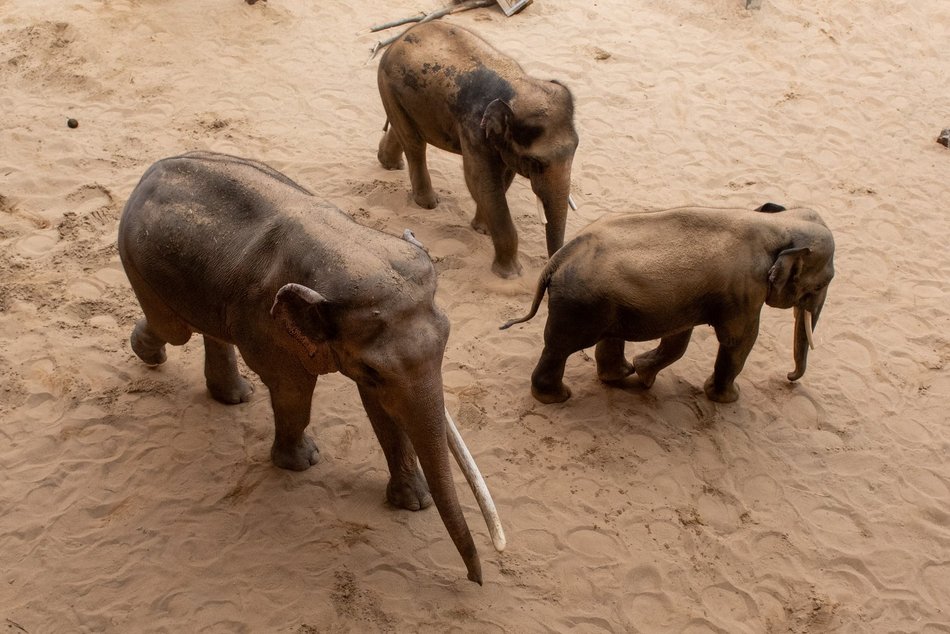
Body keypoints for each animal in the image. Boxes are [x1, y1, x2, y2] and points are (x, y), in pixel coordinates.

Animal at [119, 149, 506, 584]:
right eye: (374, 370)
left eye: (446, 339)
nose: (476, 580)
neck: (345, 246)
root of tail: (152, 169)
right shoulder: (267, 323)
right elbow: (293, 390)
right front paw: (302, 463)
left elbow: (384, 413)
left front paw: (413, 502)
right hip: (138, 262)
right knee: (174, 329)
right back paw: (148, 352)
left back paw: (233, 397)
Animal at [378, 21, 580, 276]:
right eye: (536, 162)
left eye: (576, 148)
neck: (518, 87)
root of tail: (399, 38)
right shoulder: (473, 129)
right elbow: (480, 181)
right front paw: (510, 273)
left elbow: (501, 179)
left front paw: (481, 229)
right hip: (388, 86)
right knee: (414, 144)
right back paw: (428, 203)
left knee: (406, 133)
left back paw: (388, 163)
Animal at [502, 200, 836, 402]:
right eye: (822, 283)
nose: (789, 378)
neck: (777, 225)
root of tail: (558, 258)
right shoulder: (744, 292)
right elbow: (739, 340)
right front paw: (728, 399)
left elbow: (680, 336)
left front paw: (643, 374)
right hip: (581, 307)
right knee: (560, 346)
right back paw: (559, 397)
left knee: (600, 337)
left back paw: (621, 375)